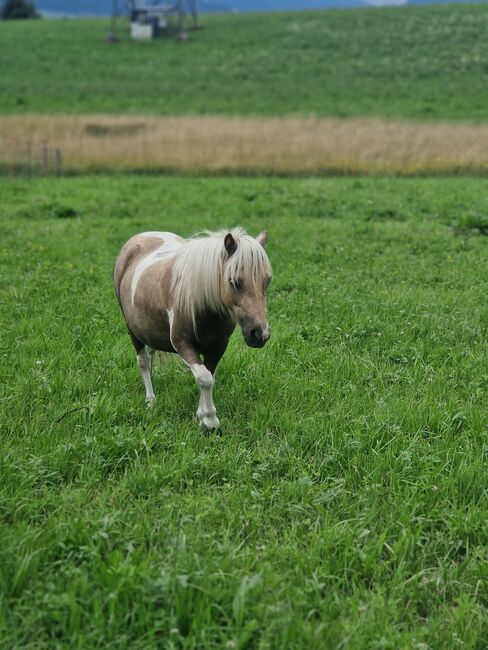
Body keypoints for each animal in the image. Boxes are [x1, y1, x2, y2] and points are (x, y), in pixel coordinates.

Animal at [115, 225, 272, 428]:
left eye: (267, 280)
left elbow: (209, 376)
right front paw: (210, 420)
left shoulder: (218, 347)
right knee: (143, 362)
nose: (260, 334)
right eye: (234, 282)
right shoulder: (183, 345)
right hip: (133, 330)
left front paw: (201, 416)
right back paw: (150, 400)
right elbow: (204, 378)